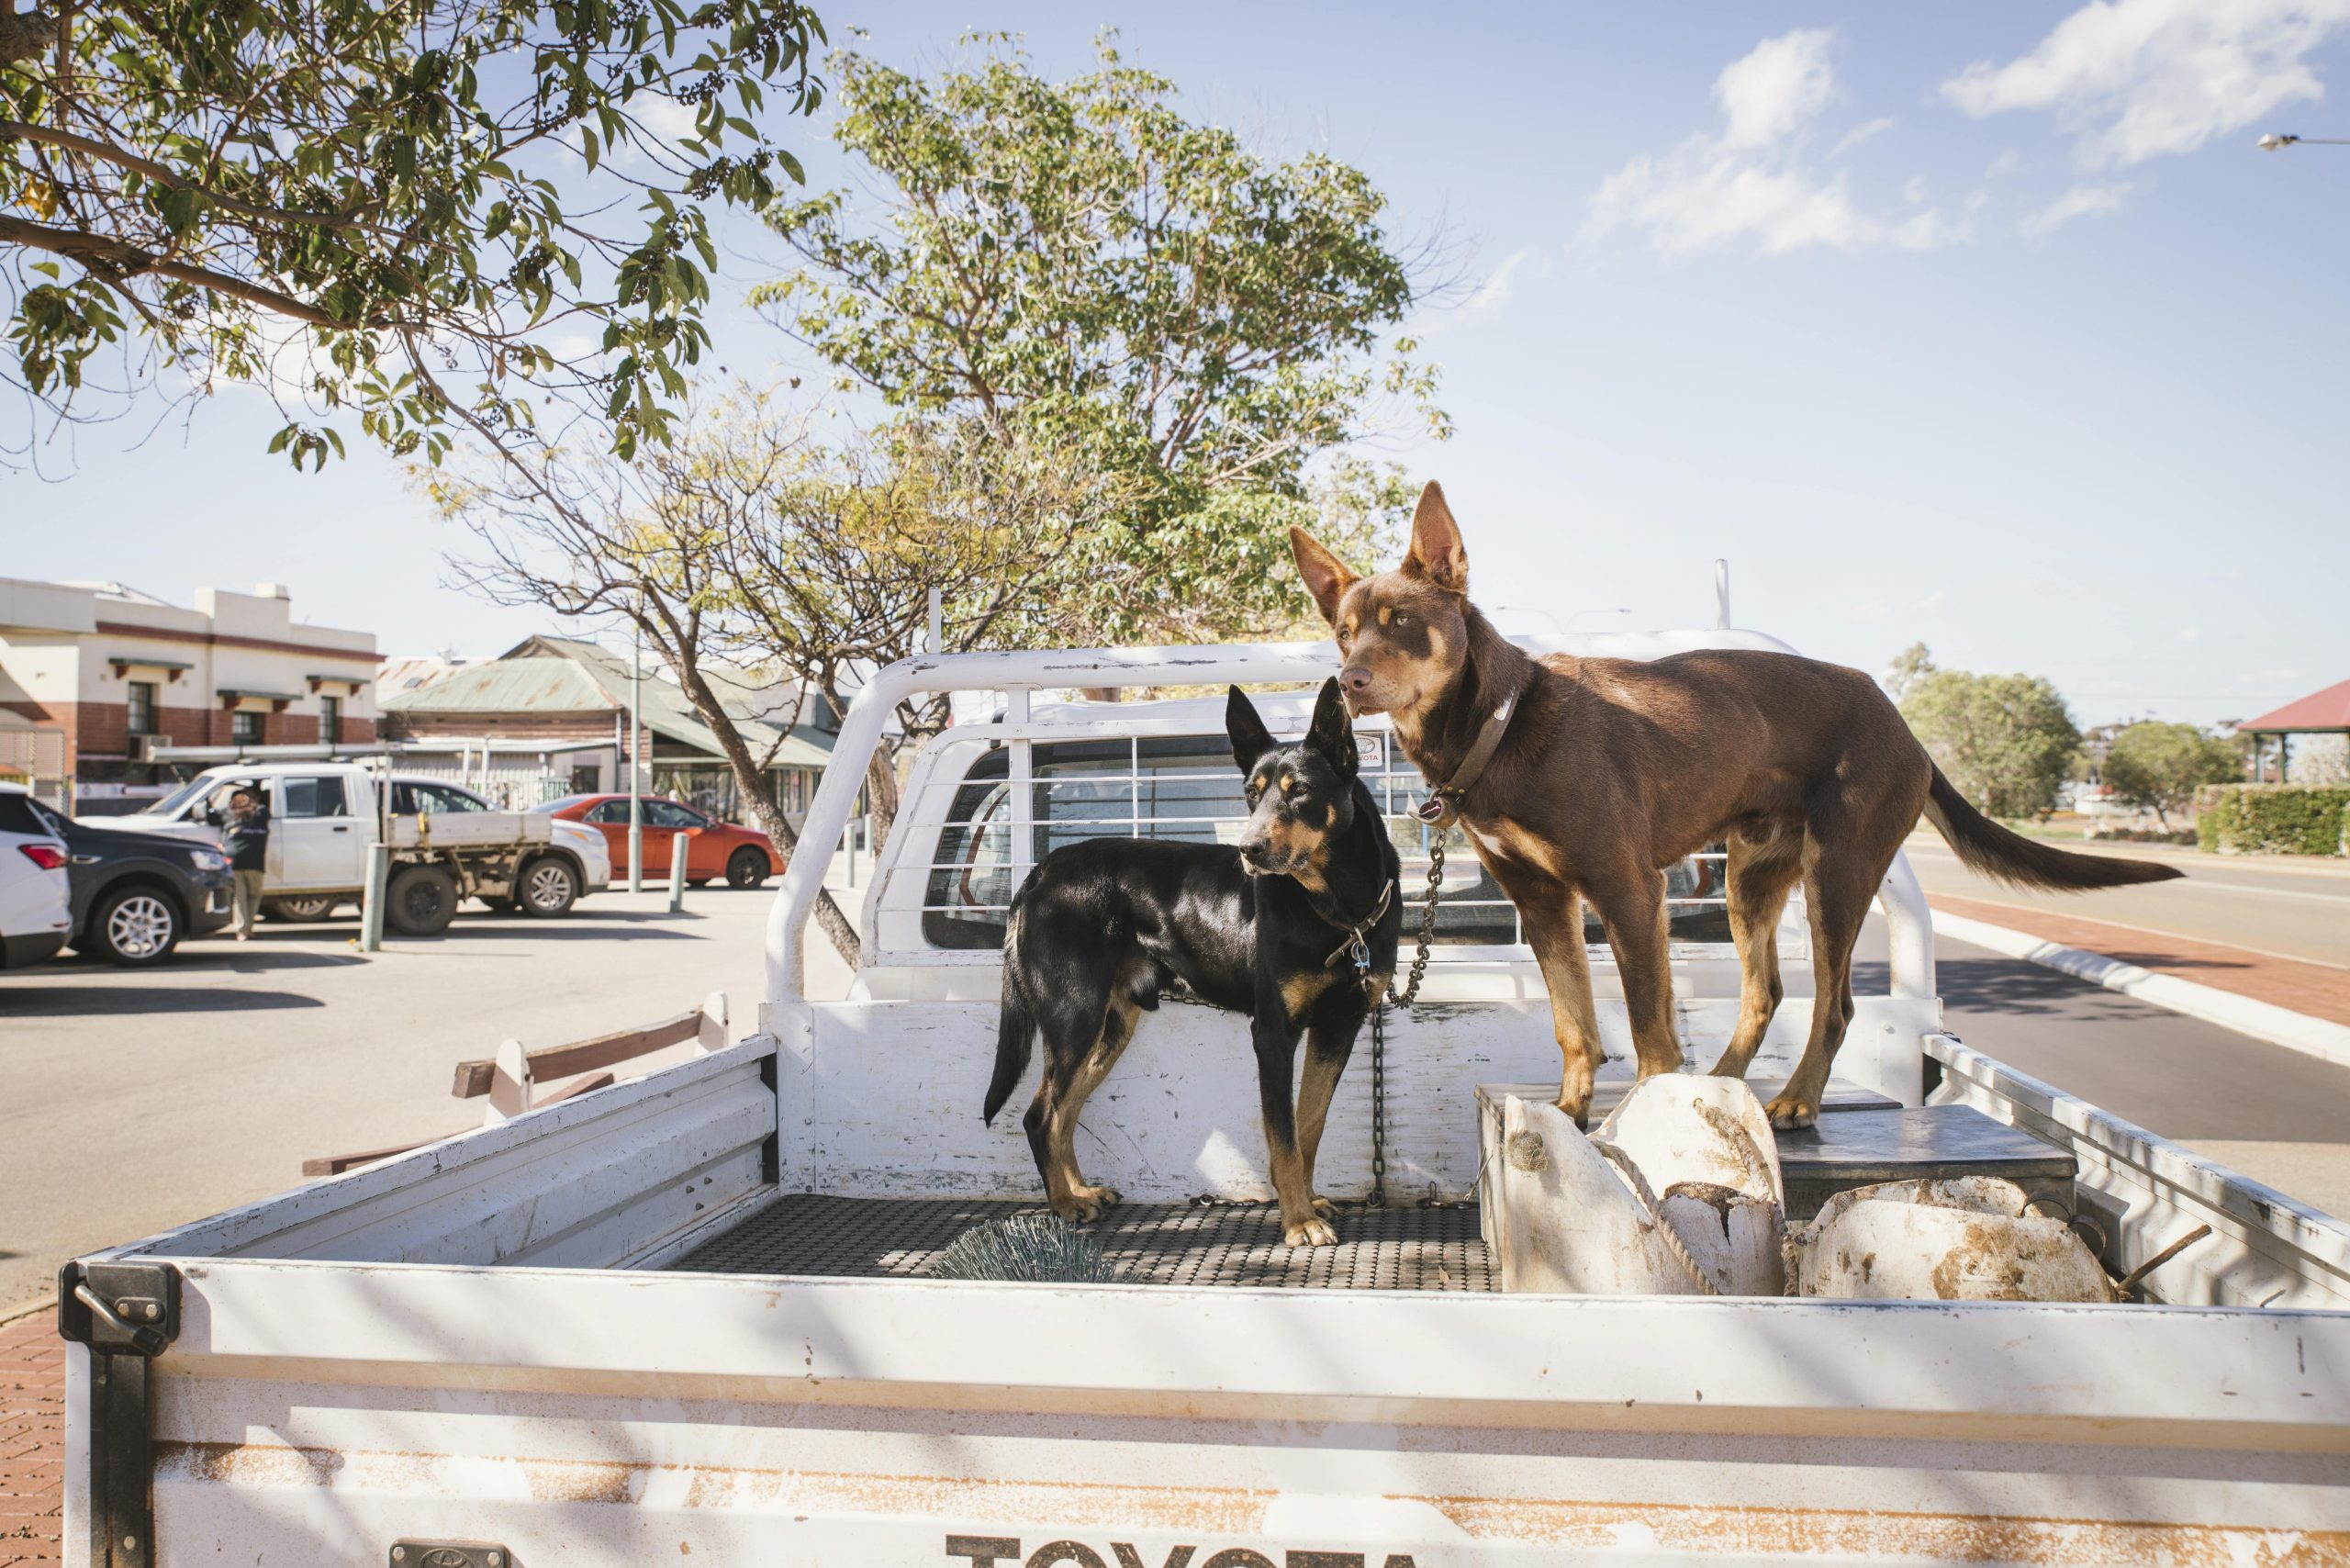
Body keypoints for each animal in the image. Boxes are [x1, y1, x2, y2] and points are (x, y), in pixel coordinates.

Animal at [987, 681, 1400, 1241]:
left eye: (1298, 791)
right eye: (1251, 794)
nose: (1248, 849)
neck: (1338, 908)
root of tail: (1039, 874)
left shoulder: (1340, 1028)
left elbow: (1308, 1127)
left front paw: (1309, 1201)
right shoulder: (1273, 1034)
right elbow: (1284, 1137)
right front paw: (1298, 1220)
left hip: (1109, 1028)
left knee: (1065, 1114)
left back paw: (1081, 1191)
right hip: (1074, 1017)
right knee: (1040, 1115)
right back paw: (1064, 1205)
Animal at [1297, 484, 2171, 1133]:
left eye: (1401, 625)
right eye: (1344, 632)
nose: (1348, 681)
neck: (1501, 722)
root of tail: (1906, 726)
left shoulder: (1628, 890)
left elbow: (1648, 1031)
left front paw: (1642, 1119)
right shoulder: (1541, 900)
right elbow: (1574, 1023)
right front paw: (1571, 1112)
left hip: (1838, 871)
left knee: (1834, 1004)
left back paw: (1794, 1101)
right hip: (1754, 878)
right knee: (1765, 995)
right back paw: (1723, 1083)